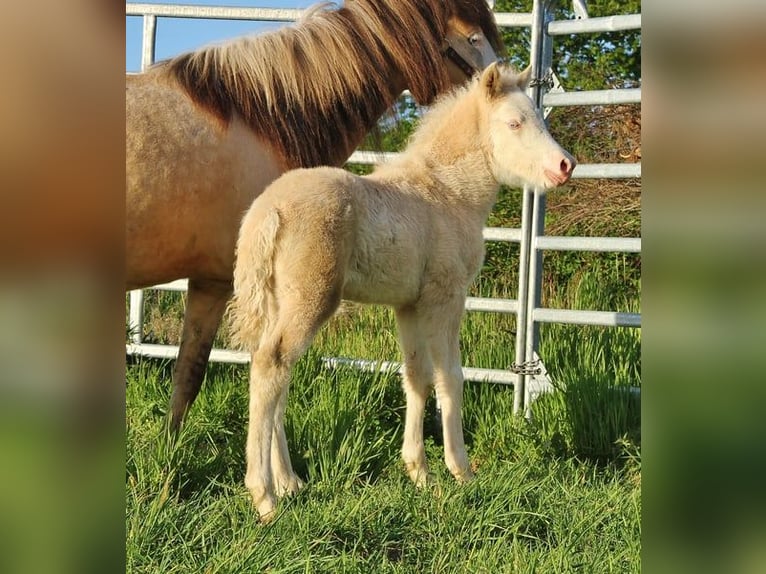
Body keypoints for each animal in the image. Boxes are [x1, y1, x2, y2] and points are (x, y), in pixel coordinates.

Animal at [126, 0, 504, 430]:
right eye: (473, 39)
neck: (261, 122)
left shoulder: (214, 283)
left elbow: (188, 375)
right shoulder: (221, 283)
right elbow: (196, 375)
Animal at [229, 62, 576, 521]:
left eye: (538, 117)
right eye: (514, 122)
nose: (566, 164)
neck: (449, 192)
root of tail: (268, 211)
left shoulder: (408, 304)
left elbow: (417, 377)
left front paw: (419, 473)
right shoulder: (446, 296)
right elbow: (451, 377)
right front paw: (461, 470)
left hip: (276, 303)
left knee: (274, 375)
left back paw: (290, 483)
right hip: (311, 299)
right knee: (271, 365)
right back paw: (264, 497)